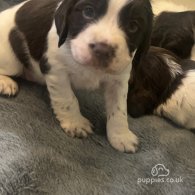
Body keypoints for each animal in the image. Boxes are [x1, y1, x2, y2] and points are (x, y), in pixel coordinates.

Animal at [0, 0, 153, 152]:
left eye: (133, 26)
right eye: (88, 11)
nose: (103, 50)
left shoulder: (119, 78)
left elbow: (119, 109)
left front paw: (121, 135)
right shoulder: (56, 68)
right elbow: (68, 99)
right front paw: (76, 123)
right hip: (13, 61)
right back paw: (6, 83)